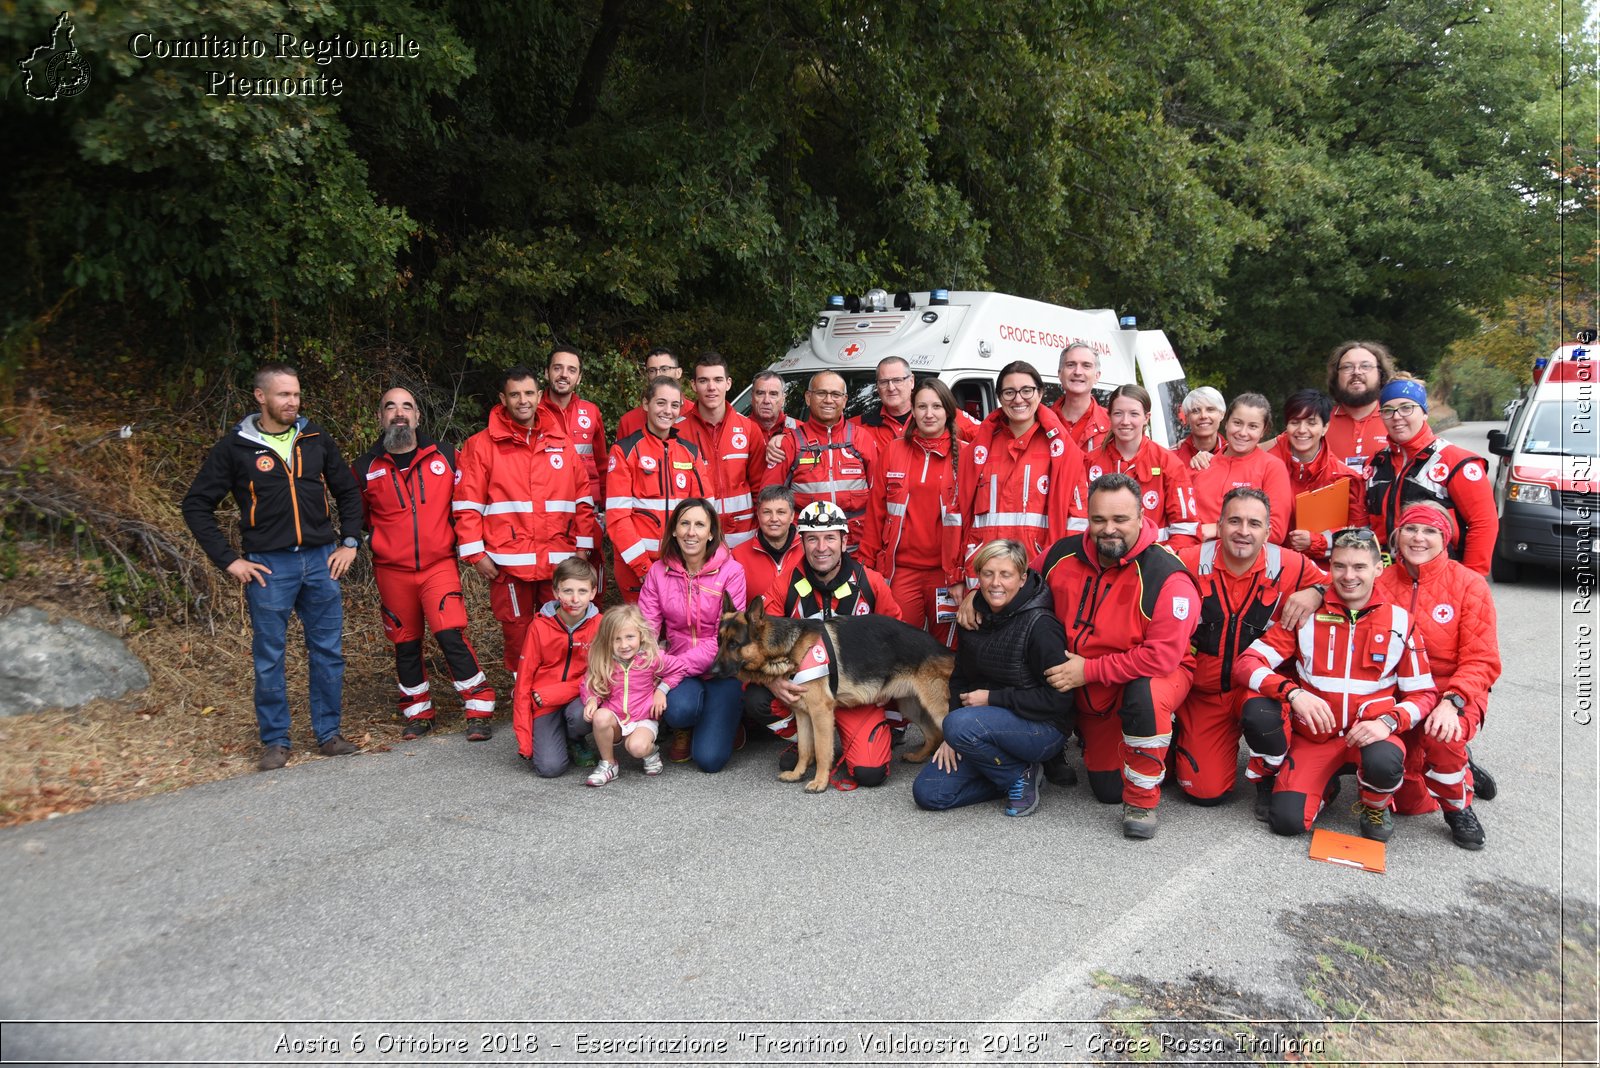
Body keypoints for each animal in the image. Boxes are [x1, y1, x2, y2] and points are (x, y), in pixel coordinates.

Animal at [710, 591, 947, 793]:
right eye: (719, 641)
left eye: (734, 644)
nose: (711, 671)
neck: (790, 647)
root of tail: (943, 648)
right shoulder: (803, 714)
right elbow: (805, 748)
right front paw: (798, 773)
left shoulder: (820, 713)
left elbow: (822, 750)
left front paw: (820, 781)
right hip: (911, 705)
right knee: (934, 734)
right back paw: (919, 756)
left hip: (936, 708)